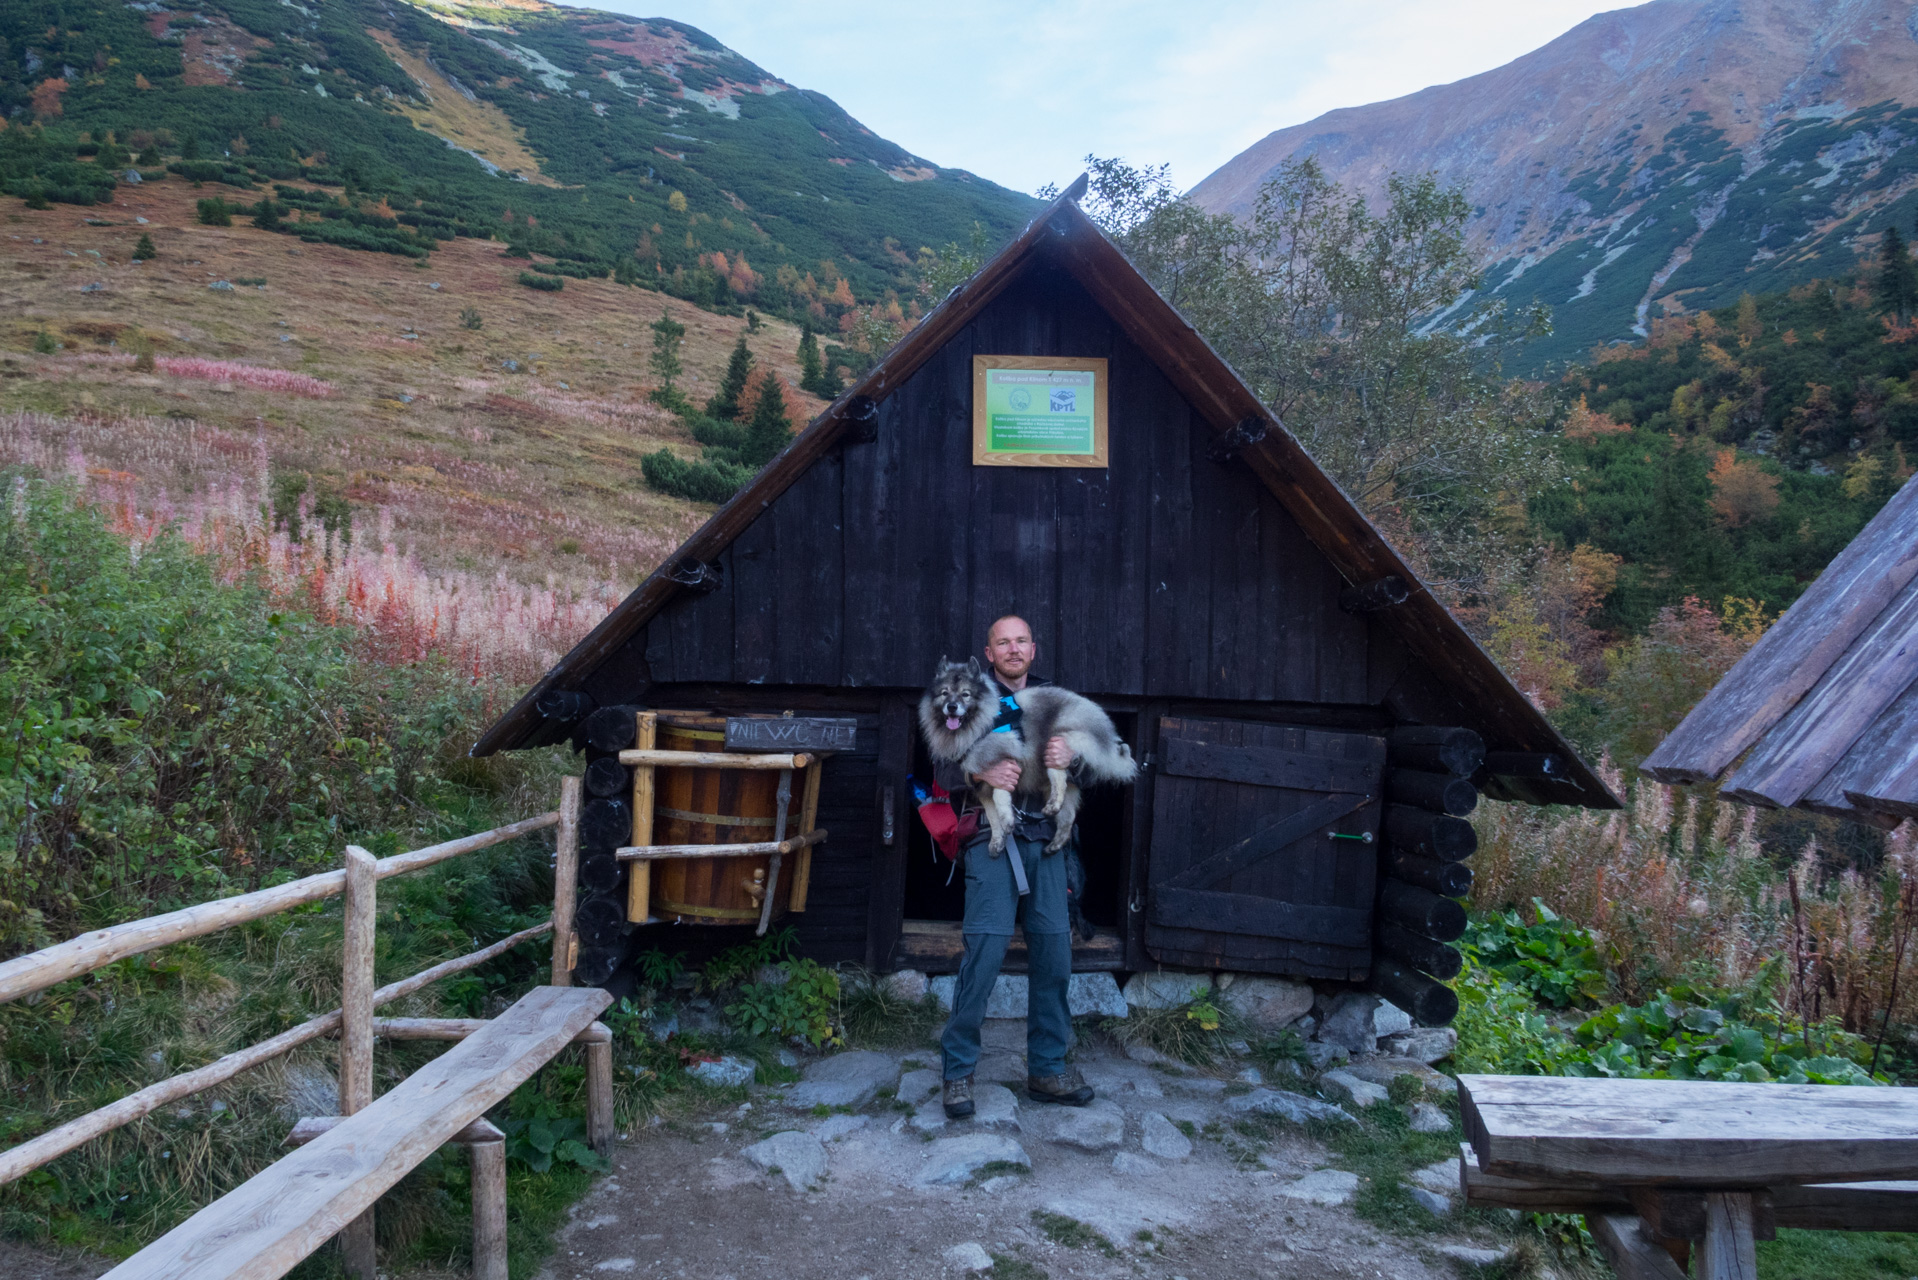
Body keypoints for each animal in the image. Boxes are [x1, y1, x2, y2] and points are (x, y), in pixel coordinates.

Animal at [916, 660, 1135, 859]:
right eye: (944, 693)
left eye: (965, 694)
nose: (952, 707)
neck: (980, 725)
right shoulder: (982, 785)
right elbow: (991, 816)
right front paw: (997, 841)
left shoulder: (1005, 760)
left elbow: (1000, 797)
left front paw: (1008, 820)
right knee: (1068, 816)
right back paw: (1055, 843)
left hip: (1057, 745)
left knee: (1059, 777)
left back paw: (1053, 805)